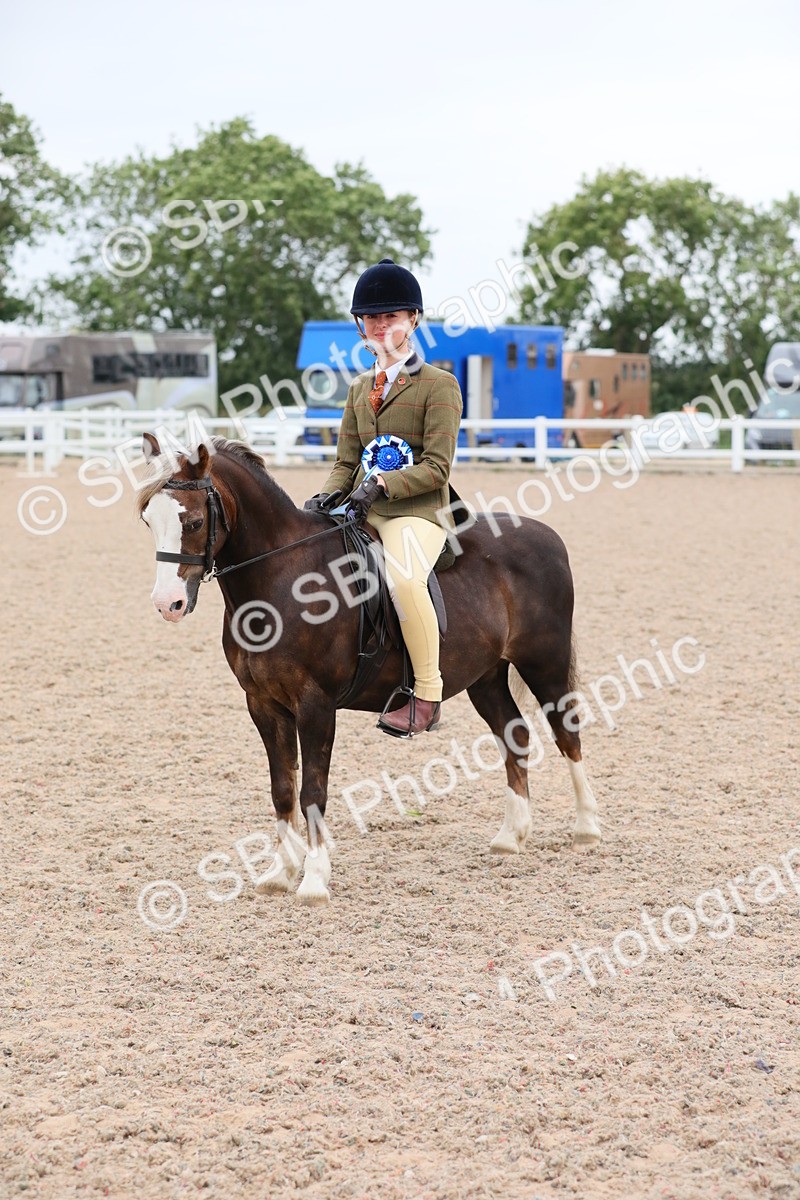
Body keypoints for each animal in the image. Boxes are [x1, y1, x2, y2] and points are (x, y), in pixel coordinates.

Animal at [138, 434, 601, 905]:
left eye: (195, 521)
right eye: (148, 520)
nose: (167, 604)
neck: (282, 579)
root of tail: (546, 534)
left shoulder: (315, 705)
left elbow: (312, 791)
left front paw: (314, 880)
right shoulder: (264, 704)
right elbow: (282, 788)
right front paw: (280, 872)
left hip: (544, 662)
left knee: (567, 732)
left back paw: (586, 829)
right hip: (485, 678)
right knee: (515, 735)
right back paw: (511, 836)